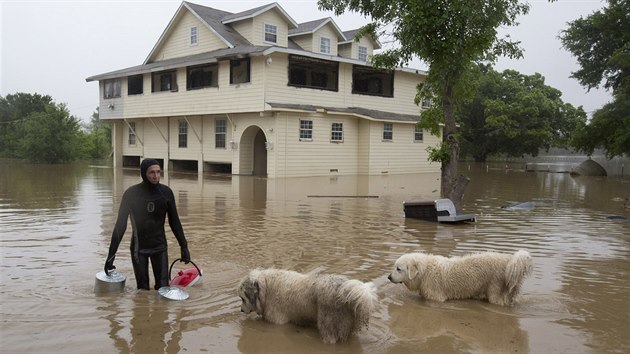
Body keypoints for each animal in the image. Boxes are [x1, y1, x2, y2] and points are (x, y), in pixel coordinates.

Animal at [236, 268, 376, 342]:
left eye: (242, 298)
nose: (241, 310)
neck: (266, 288)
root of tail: (344, 289)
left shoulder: (278, 322)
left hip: (327, 325)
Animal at [390, 250, 532, 306]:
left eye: (398, 268)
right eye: (395, 267)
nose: (388, 277)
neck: (425, 271)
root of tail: (510, 262)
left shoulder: (437, 298)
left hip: (495, 292)